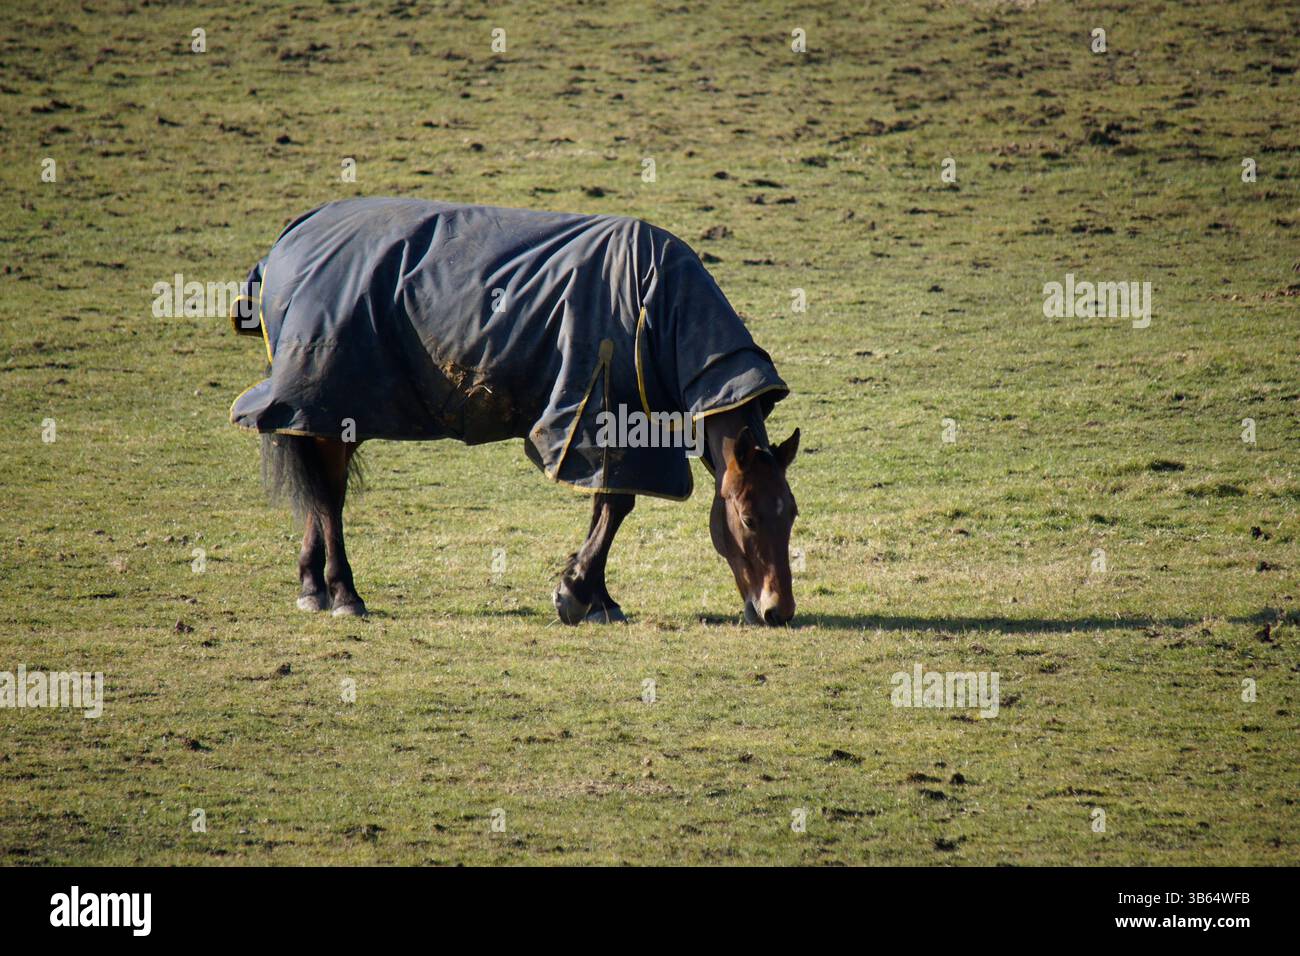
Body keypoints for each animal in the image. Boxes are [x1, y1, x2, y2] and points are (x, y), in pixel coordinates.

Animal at [230, 199, 800, 626]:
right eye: (748, 518)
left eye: (791, 514)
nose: (778, 611)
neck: (651, 304)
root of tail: (289, 242)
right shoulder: (603, 414)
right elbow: (617, 505)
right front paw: (576, 592)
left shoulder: (610, 426)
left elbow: (606, 503)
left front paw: (597, 597)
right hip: (330, 408)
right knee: (328, 498)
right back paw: (344, 593)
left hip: (330, 417)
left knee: (322, 490)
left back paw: (313, 587)